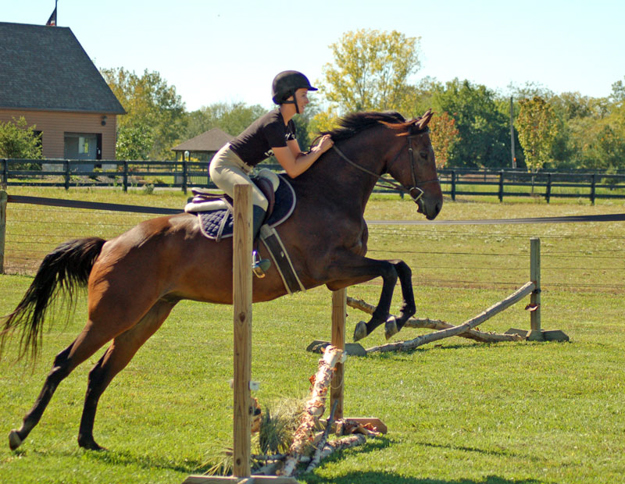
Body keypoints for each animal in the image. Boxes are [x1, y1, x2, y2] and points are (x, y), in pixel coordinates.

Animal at [1, 108, 438, 450]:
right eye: (423, 153)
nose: (434, 207)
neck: (331, 192)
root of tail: (110, 244)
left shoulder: (341, 272)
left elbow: (399, 267)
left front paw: (398, 317)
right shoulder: (329, 269)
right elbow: (390, 268)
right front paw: (377, 322)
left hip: (146, 317)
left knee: (99, 373)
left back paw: (88, 440)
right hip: (111, 315)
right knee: (63, 363)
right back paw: (22, 432)